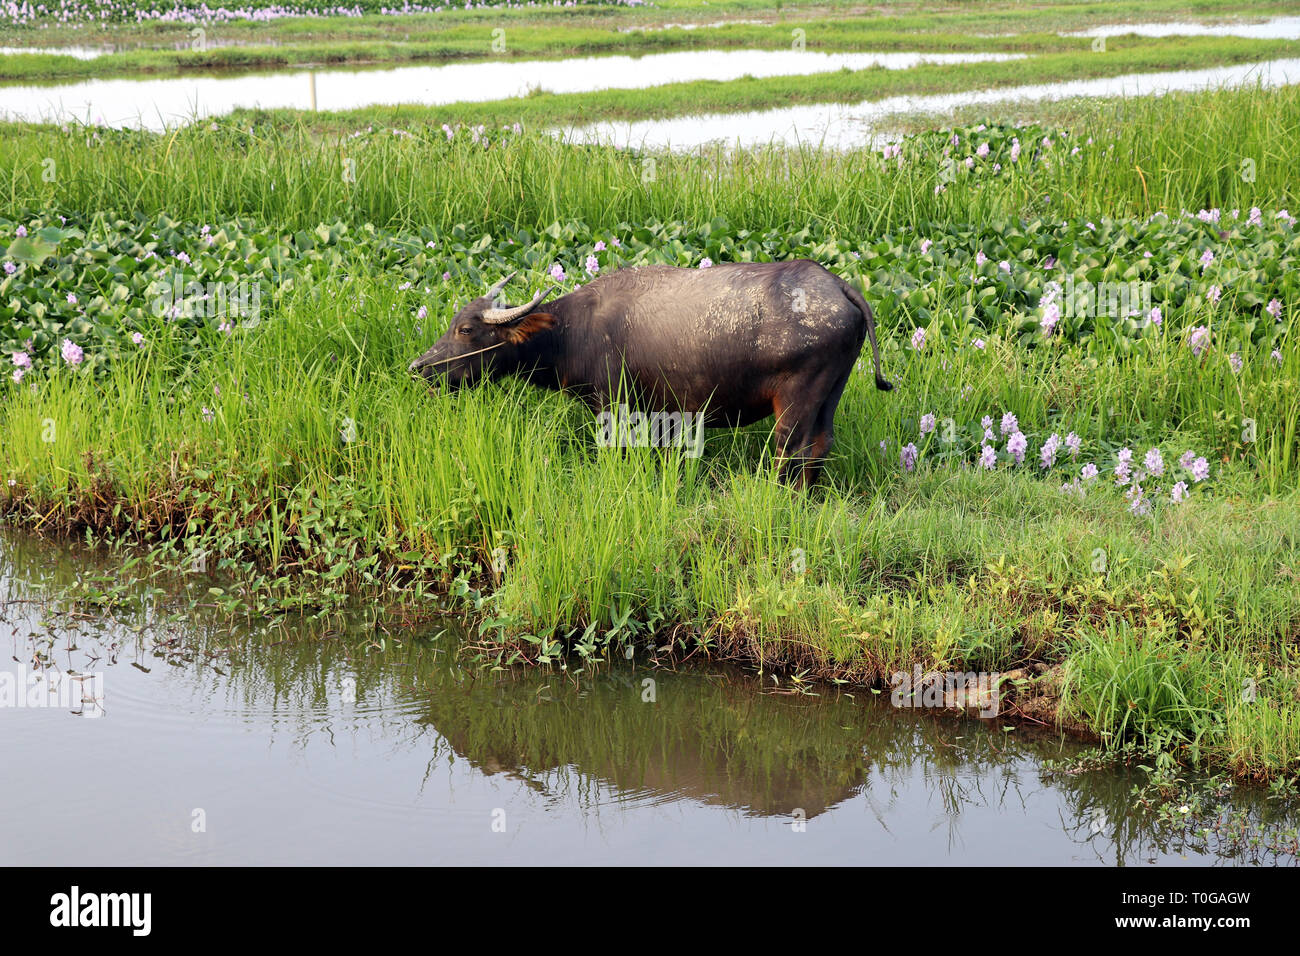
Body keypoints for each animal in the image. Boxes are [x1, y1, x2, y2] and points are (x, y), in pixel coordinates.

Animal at [408, 261, 894, 486]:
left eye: (466, 329)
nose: (419, 368)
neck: (571, 332)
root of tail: (836, 284)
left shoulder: (613, 405)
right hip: (831, 394)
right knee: (820, 446)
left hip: (796, 401)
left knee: (791, 452)